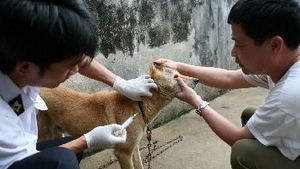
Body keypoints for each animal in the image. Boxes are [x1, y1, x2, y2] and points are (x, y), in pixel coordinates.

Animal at [37, 61, 198, 168]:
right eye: (176, 76)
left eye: (180, 73)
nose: (196, 79)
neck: (138, 104)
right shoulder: (123, 152)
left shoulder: (134, 148)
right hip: (43, 137)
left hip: (56, 133)